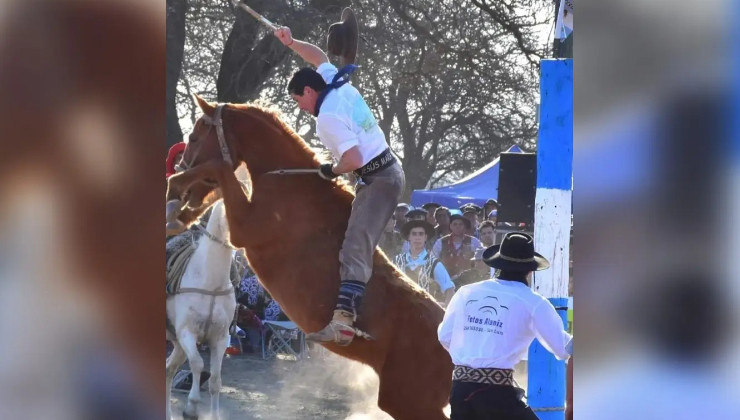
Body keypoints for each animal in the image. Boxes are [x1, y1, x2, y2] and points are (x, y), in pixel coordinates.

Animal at [166, 201, 236, 420]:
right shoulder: (187, 333)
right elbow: (197, 364)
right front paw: (191, 407)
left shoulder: (220, 338)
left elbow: (215, 381)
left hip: (178, 345)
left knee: (168, 370)